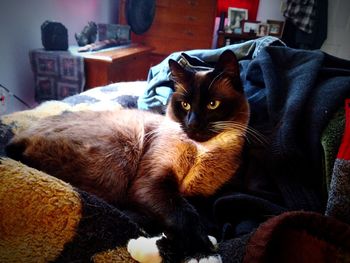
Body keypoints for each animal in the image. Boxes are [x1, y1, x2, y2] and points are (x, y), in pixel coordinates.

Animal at [5, 50, 249, 263]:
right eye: (185, 105)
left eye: (213, 104)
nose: (193, 124)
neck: (201, 151)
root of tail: (20, 136)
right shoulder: (152, 185)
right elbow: (184, 214)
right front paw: (202, 254)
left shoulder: (203, 198)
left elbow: (199, 216)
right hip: (121, 153)